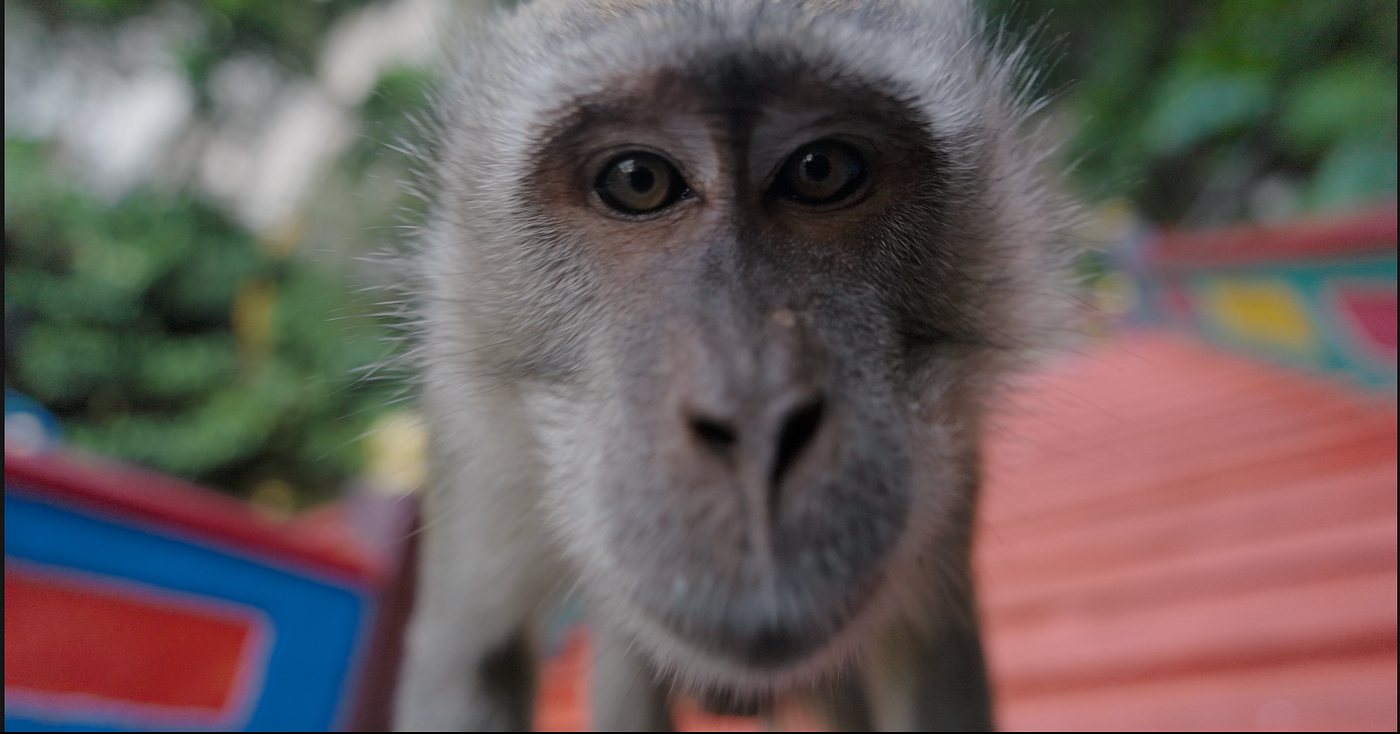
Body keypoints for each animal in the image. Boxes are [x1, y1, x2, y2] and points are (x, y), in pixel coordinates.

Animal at [394, 0, 1069, 728]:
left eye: (820, 170)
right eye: (638, 181)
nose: (754, 420)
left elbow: (927, 646)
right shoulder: (474, 442)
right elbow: (472, 663)